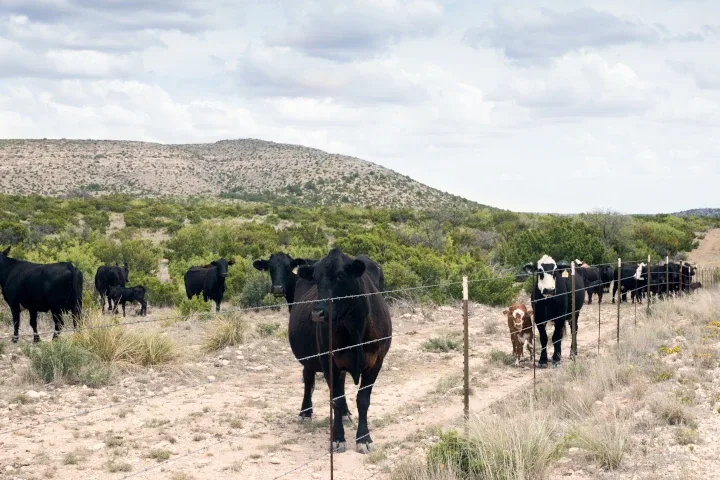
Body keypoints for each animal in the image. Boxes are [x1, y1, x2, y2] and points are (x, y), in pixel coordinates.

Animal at [290, 249, 390, 456]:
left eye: (341, 275)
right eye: (316, 278)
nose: (317, 313)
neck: (355, 327)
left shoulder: (376, 362)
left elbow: (363, 399)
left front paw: (364, 438)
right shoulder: (329, 361)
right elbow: (335, 398)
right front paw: (338, 438)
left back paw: (345, 413)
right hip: (310, 357)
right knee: (309, 381)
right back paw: (305, 412)